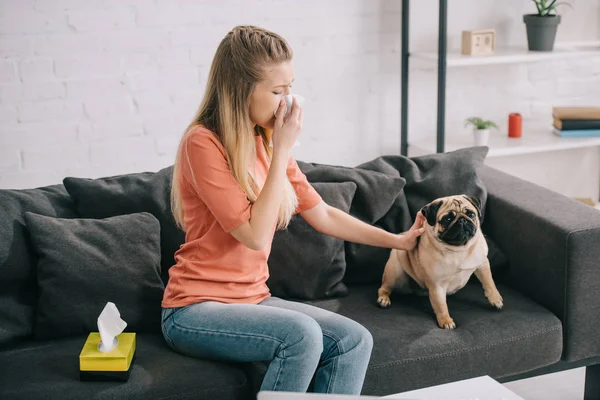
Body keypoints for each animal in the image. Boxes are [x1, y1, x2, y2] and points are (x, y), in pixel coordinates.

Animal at [378, 195, 504, 330]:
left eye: (471, 214)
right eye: (447, 219)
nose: (462, 221)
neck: (458, 250)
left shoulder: (482, 264)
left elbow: (489, 282)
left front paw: (495, 299)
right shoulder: (437, 285)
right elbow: (441, 305)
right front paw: (446, 320)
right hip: (394, 270)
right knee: (385, 287)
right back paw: (383, 299)